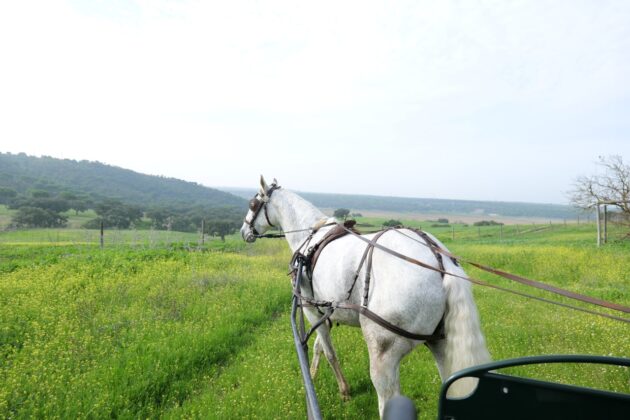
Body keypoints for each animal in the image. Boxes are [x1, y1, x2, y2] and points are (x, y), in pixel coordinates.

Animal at [239, 176, 492, 416]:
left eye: (252, 204)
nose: (244, 231)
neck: (309, 236)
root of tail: (440, 261)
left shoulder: (311, 310)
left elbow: (329, 352)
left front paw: (343, 390)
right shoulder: (325, 312)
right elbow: (320, 346)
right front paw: (313, 372)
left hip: (383, 354)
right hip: (442, 343)